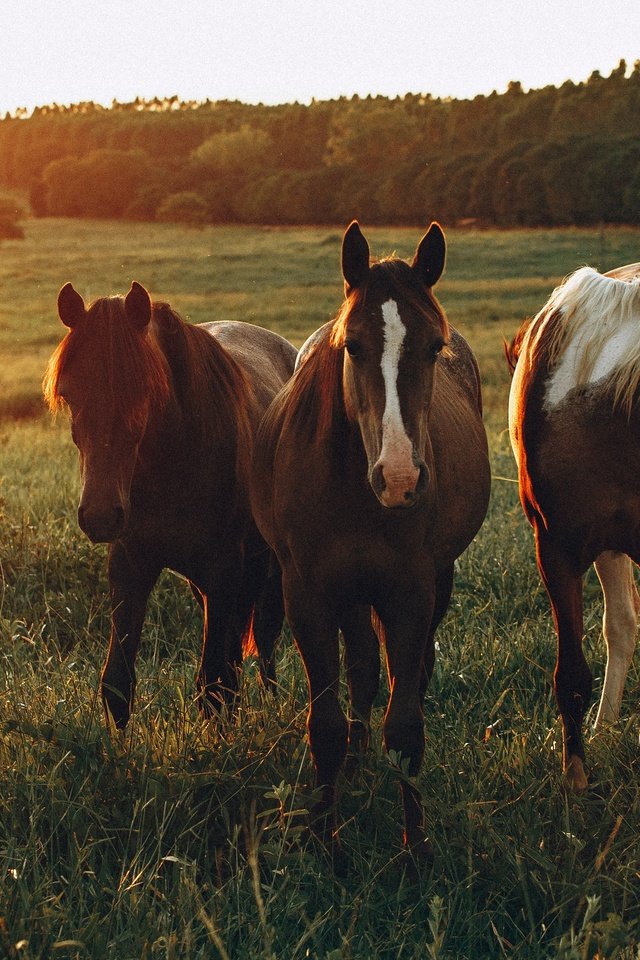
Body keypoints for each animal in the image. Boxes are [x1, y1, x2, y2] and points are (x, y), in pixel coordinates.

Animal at [42, 282, 298, 732]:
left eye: (143, 390)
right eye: (69, 394)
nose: (100, 516)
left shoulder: (224, 566)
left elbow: (213, 683)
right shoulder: (131, 563)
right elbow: (117, 683)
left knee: (264, 644)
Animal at [250, 223, 490, 864]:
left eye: (433, 347)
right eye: (353, 346)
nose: (401, 478)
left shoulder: (410, 592)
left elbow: (405, 727)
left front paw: (417, 849)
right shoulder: (308, 595)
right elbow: (327, 724)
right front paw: (324, 840)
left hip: (431, 584)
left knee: (407, 674)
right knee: (359, 670)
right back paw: (355, 767)